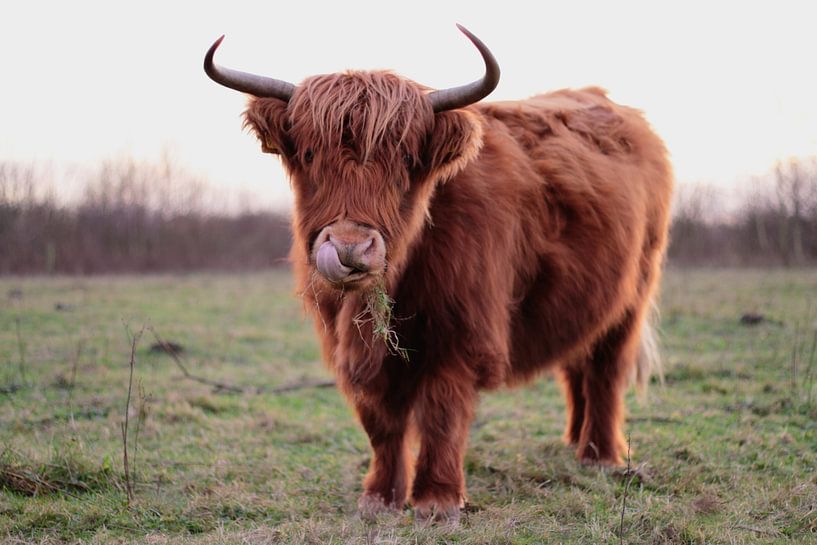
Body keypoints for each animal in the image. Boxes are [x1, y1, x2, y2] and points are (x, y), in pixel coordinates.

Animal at [206, 26, 676, 524]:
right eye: (311, 153)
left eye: (405, 161)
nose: (351, 248)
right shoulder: (352, 347)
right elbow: (380, 421)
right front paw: (380, 497)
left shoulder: (461, 334)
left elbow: (441, 412)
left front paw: (437, 499)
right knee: (578, 364)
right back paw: (574, 441)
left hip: (632, 296)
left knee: (606, 369)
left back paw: (599, 456)